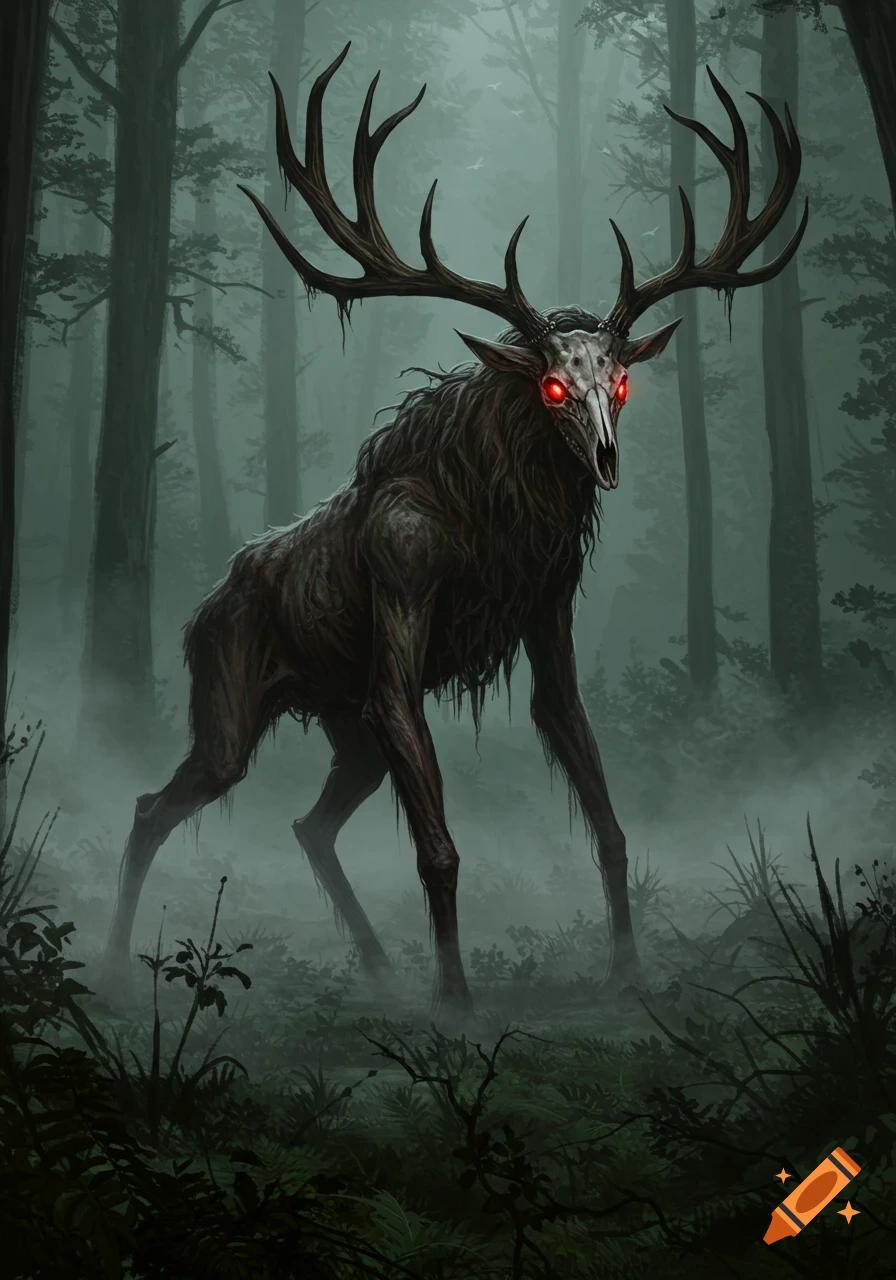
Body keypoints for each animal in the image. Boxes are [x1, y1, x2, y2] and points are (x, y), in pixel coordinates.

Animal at [99, 44, 806, 1026]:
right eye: (552, 386)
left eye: (621, 384)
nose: (606, 459)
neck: (495, 522)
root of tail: (202, 607)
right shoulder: (400, 614)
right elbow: (439, 848)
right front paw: (459, 1000)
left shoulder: (546, 613)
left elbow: (608, 818)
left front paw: (630, 970)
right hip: (231, 713)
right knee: (151, 807)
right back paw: (116, 966)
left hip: (347, 732)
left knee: (308, 824)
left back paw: (377, 969)